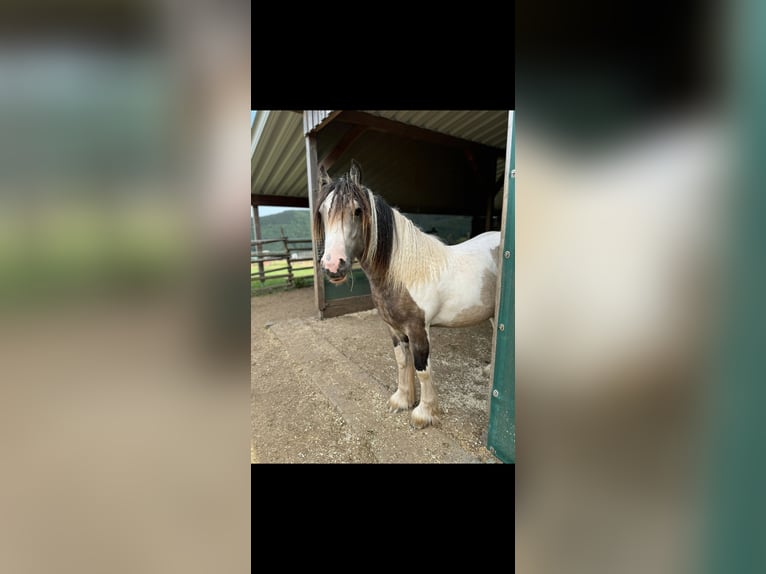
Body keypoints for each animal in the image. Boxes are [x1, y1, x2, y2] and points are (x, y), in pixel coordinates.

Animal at [313, 160, 501, 428]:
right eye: (321, 212)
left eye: (357, 211)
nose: (332, 266)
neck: (404, 275)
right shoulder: (394, 328)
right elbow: (403, 362)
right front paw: (402, 400)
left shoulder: (418, 329)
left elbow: (422, 368)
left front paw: (424, 413)